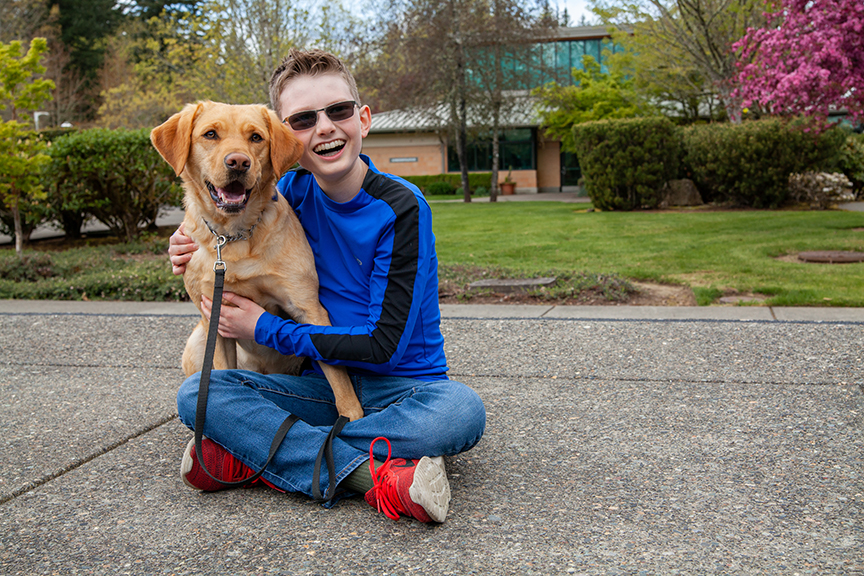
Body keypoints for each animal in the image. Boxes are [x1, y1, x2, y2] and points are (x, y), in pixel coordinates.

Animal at [150, 101, 362, 420]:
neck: (233, 237)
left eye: (256, 138)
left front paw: (352, 416)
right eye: (210, 134)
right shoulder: (214, 317)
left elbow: (337, 376)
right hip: (197, 342)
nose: (238, 162)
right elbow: (220, 375)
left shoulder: (308, 308)